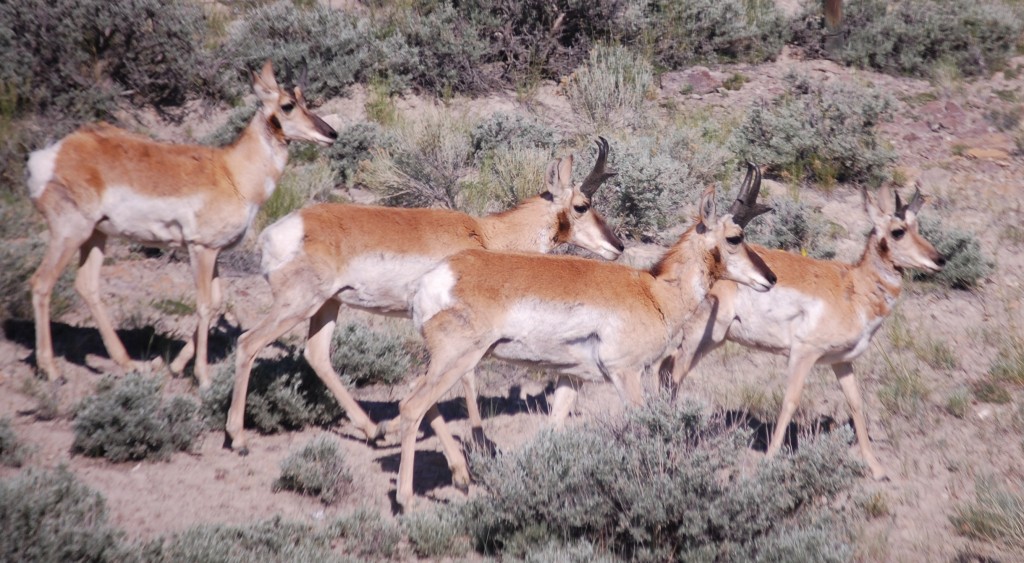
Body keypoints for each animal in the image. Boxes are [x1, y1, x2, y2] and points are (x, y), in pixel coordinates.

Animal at [24, 61, 335, 388]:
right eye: (287, 105)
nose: (331, 133)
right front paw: (203, 377)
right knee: (42, 283)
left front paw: (176, 366)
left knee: (86, 285)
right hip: (71, 231)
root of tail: (52, 153)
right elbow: (204, 305)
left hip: (96, 235)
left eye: (303, 99)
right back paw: (52, 370)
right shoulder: (201, 249)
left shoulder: (215, 252)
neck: (231, 172)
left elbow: (216, 302)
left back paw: (130, 364)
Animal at [226, 139, 622, 456]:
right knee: (248, 343)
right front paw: (482, 442)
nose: (618, 245)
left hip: (328, 304)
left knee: (316, 354)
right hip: (298, 304)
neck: (484, 234)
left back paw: (374, 430)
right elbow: (467, 378)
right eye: (582, 205)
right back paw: (239, 439)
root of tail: (283, 228)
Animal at [395, 183, 778, 509]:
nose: (771, 278)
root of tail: (439, 276)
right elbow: (644, 429)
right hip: (460, 358)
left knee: (419, 401)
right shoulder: (627, 375)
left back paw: (459, 477)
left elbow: (552, 431)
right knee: (412, 407)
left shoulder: (571, 378)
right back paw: (407, 502)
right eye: (735, 237)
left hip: (444, 362)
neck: (653, 292)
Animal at [667, 186, 946, 481]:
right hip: (703, 336)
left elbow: (856, 403)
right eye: (898, 231)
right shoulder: (804, 353)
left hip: (711, 341)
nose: (940, 259)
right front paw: (769, 461)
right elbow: (790, 401)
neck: (854, 286)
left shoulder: (842, 362)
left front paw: (877, 468)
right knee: (675, 372)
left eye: (917, 226)